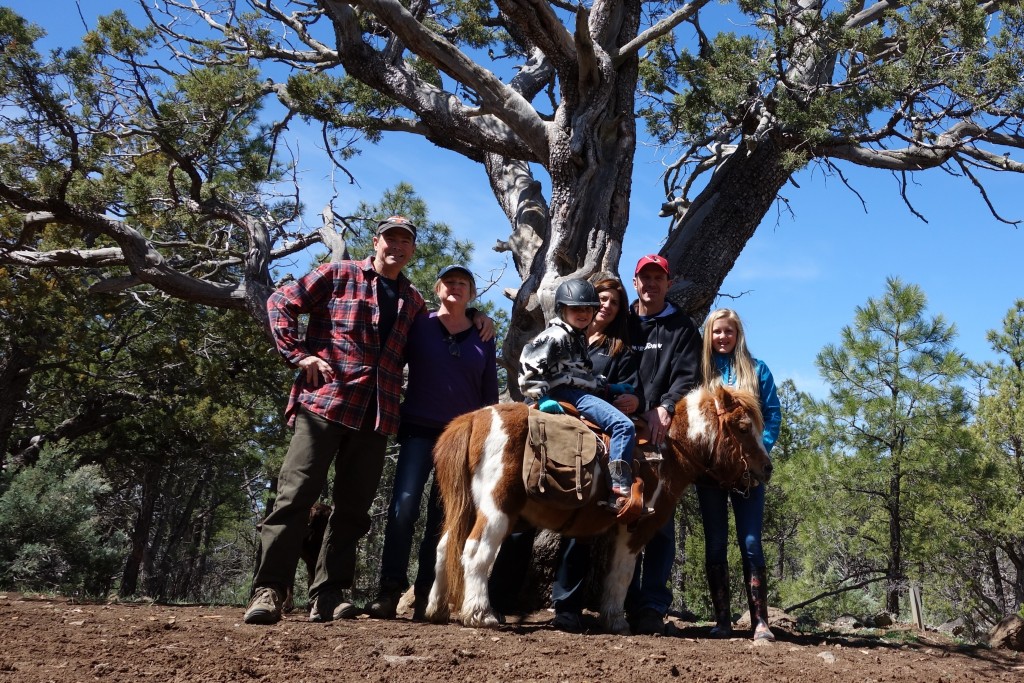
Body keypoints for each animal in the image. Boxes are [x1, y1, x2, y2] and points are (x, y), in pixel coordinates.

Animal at [428, 385, 770, 634]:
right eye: (742, 427)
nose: (766, 468)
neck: (669, 450)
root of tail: (474, 419)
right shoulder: (635, 527)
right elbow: (622, 574)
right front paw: (617, 621)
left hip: (465, 508)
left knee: (444, 548)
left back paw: (437, 608)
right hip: (497, 509)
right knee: (475, 551)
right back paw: (480, 614)